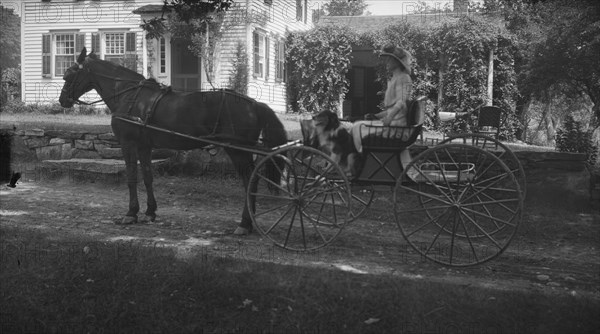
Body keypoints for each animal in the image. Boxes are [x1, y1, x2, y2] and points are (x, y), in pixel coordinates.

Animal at [59, 48, 288, 236]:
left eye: (69, 73)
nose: (62, 100)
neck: (130, 95)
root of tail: (254, 104)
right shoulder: (144, 146)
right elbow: (148, 177)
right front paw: (150, 211)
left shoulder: (127, 143)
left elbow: (132, 177)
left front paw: (131, 213)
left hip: (237, 151)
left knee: (250, 180)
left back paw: (245, 223)